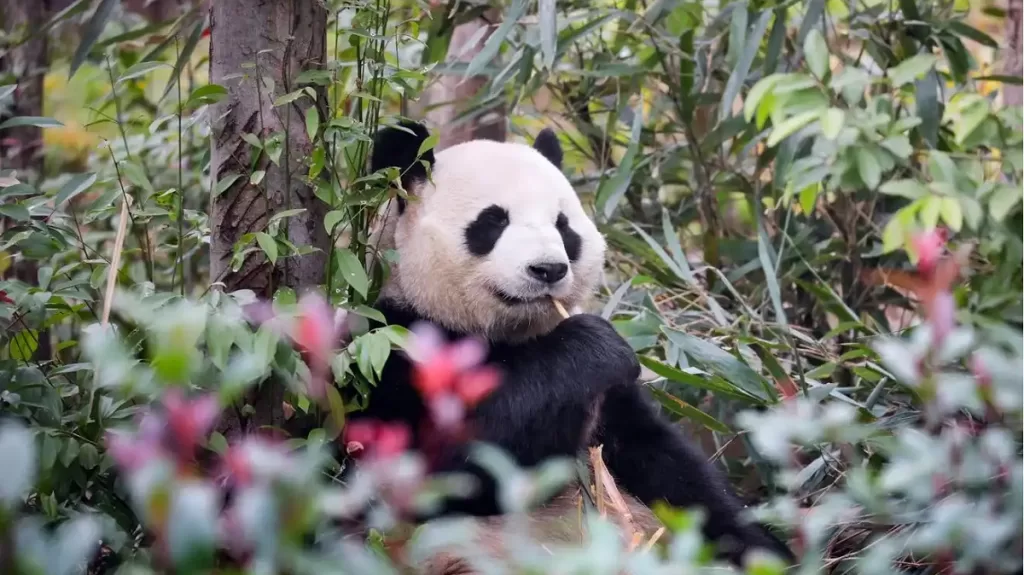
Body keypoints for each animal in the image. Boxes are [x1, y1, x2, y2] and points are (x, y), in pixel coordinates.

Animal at [347, 119, 794, 572]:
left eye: (563, 226)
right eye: (493, 221)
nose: (548, 269)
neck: (503, 333)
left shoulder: (610, 406)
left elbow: (669, 467)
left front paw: (765, 549)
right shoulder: (391, 349)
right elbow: (447, 470)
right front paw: (594, 345)